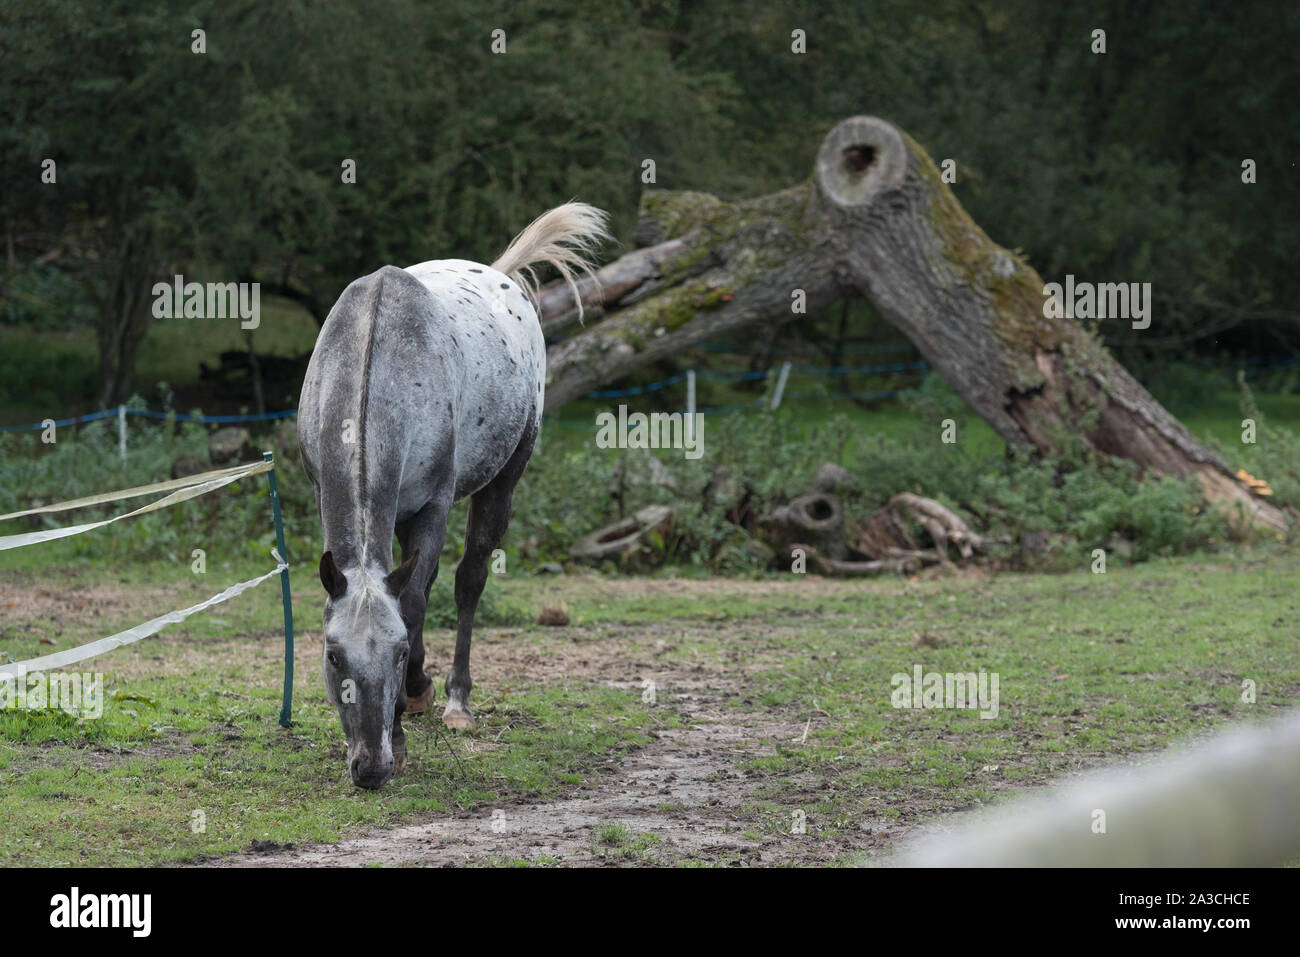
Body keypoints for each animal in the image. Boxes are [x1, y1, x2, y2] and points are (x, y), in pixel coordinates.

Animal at [299, 201, 608, 785]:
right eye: (333, 656)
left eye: (398, 654)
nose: (371, 768)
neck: (377, 350)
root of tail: (500, 274)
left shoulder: (434, 506)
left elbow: (417, 601)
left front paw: (406, 715)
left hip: (503, 480)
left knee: (468, 581)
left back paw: (455, 700)